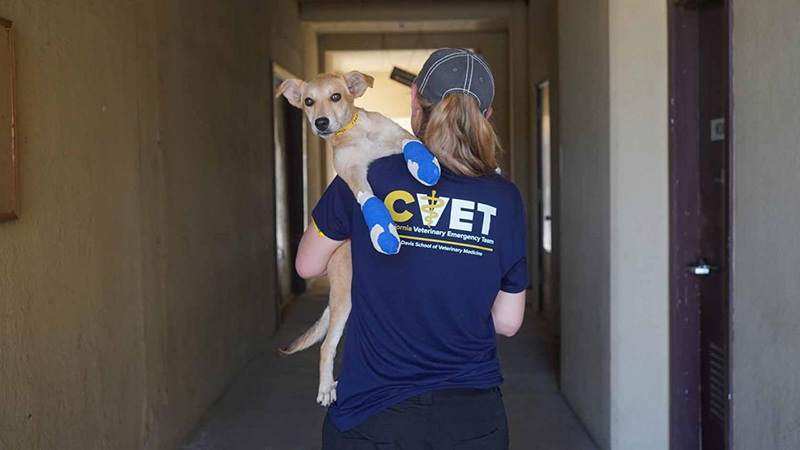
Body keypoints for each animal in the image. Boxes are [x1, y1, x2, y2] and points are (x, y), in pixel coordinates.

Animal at [276, 72, 440, 406]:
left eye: (336, 96)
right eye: (308, 101)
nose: (321, 123)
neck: (356, 133)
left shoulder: (399, 135)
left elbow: (411, 143)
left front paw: (425, 165)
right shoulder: (351, 172)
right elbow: (369, 198)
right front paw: (383, 231)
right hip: (344, 296)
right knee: (326, 346)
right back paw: (326, 387)